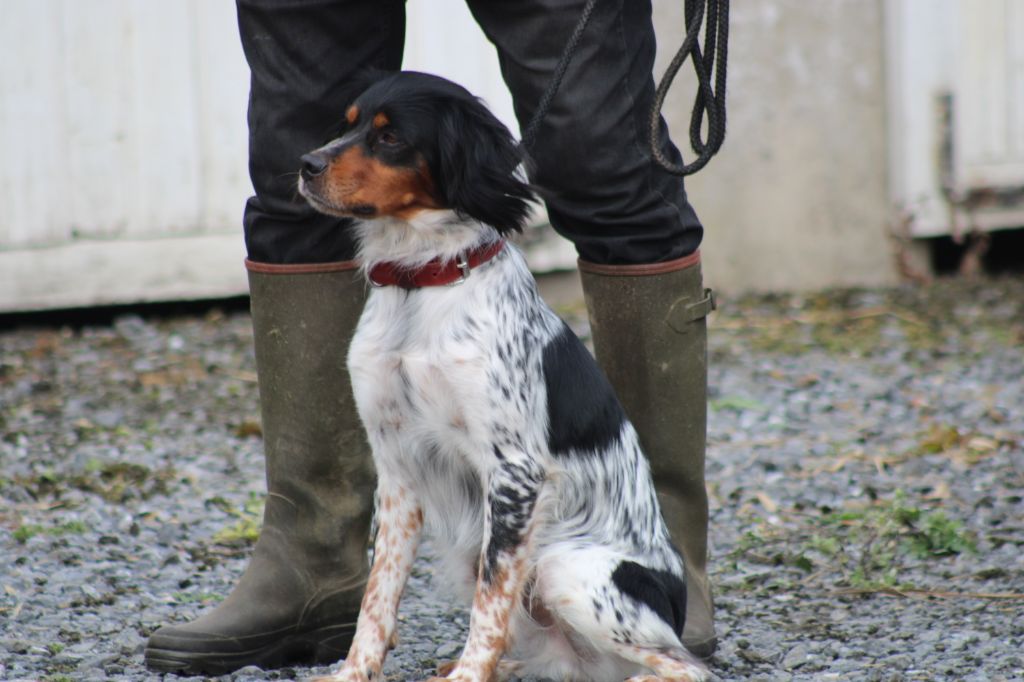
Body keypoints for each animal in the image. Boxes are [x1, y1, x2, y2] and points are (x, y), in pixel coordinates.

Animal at [299, 70, 708, 679]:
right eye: (347, 124)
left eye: (390, 137)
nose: (305, 164)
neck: (420, 281)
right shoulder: (396, 467)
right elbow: (379, 592)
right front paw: (355, 670)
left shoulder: (514, 472)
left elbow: (489, 604)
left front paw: (470, 675)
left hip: (566, 569)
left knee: (684, 664)